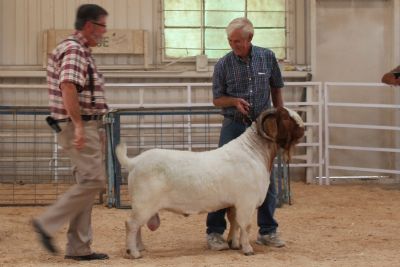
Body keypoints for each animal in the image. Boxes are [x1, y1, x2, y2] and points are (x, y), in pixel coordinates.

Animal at [115, 107, 304, 260]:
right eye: (285, 118)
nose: (303, 127)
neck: (253, 153)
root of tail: (135, 162)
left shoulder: (234, 204)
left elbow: (235, 223)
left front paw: (234, 244)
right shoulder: (246, 202)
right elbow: (246, 225)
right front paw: (248, 249)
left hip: (143, 207)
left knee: (137, 227)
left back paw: (140, 247)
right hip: (144, 204)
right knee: (131, 224)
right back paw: (134, 252)